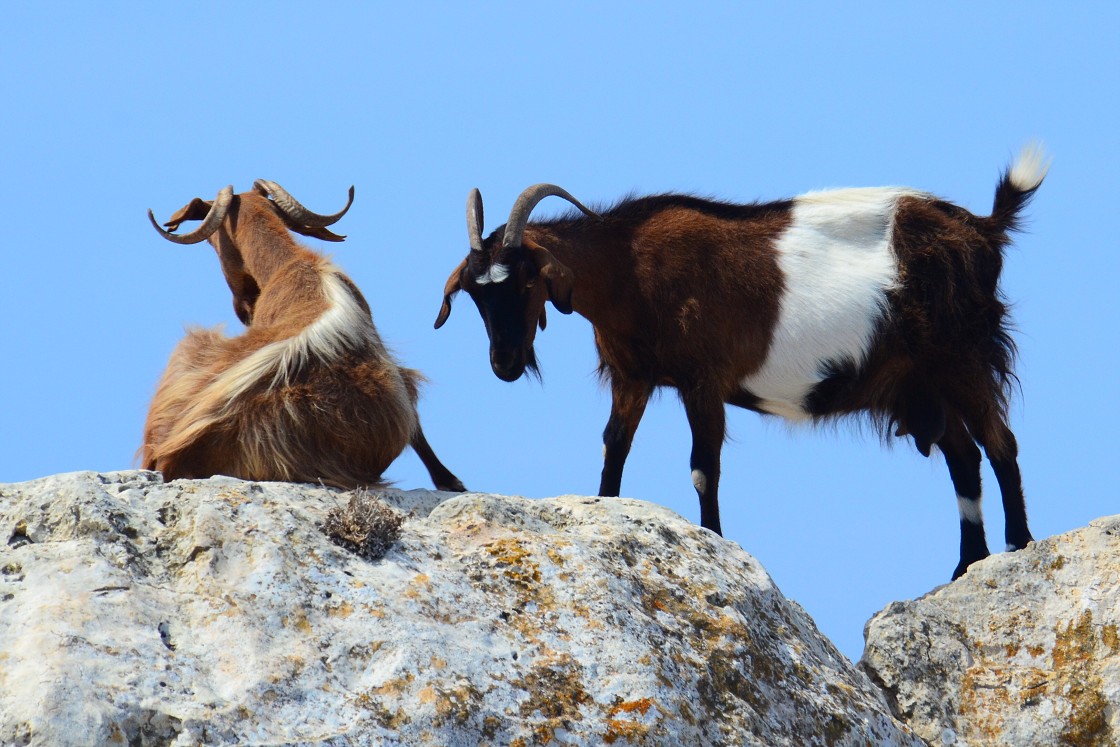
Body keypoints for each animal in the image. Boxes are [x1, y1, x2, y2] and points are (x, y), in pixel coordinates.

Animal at [434, 144, 1048, 577]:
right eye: (475, 294)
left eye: (525, 281)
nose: (505, 363)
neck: (628, 268)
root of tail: (983, 229)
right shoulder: (634, 376)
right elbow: (613, 448)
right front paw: (605, 510)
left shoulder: (703, 380)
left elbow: (704, 468)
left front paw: (716, 540)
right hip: (923, 382)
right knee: (964, 457)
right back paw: (966, 565)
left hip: (963, 359)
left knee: (1001, 445)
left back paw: (1018, 547)